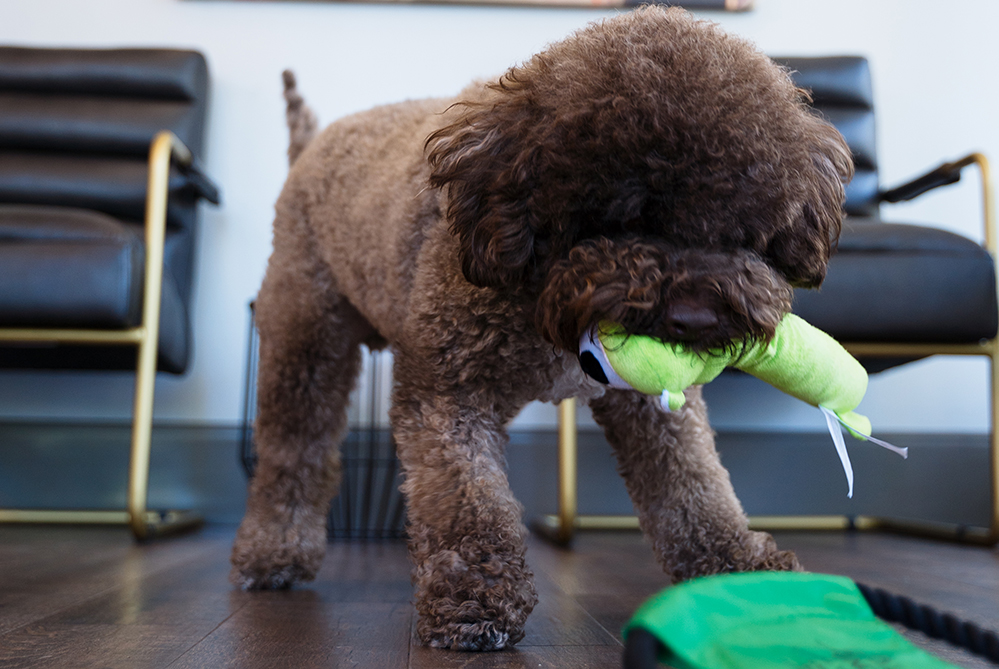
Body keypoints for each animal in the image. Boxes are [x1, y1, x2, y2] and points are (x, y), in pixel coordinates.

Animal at [232, 5, 852, 648]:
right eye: (625, 218)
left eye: (742, 229)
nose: (694, 319)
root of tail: (311, 144)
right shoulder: (447, 396)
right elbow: (470, 503)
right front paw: (475, 597)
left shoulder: (653, 407)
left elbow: (695, 486)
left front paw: (742, 573)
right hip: (304, 339)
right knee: (293, 450)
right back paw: (274, 551)